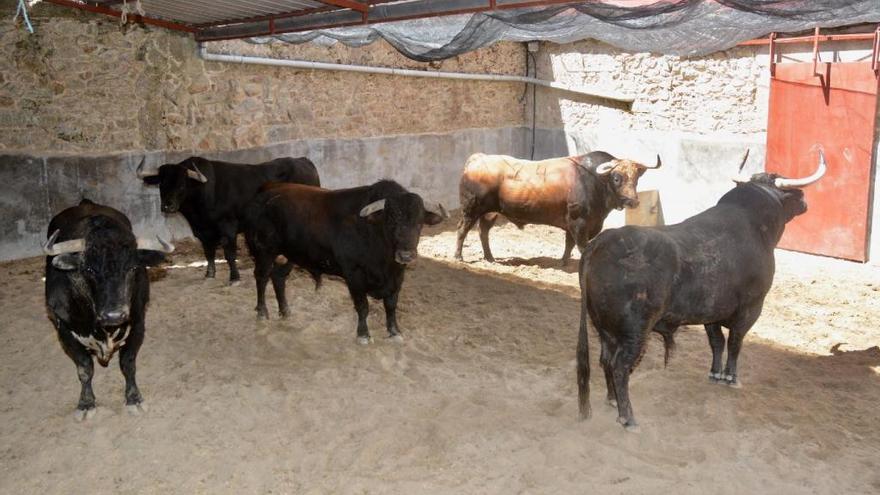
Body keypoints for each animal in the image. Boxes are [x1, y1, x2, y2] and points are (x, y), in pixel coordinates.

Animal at [44, 200, 174, 420]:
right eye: (89, 269)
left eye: (133, 268)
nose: (114, 315)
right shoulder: (64, 330)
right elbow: (84, 368)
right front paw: (86, 404)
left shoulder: (138, 323)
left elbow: (128, 364)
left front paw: (134, 398)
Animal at [454, 151, 660, 266]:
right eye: (616, 178)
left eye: (636, 179)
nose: (633, 202)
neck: (594, 181)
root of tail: (478, 159)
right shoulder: (579, 223)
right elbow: (581, 246)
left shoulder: (573, 224)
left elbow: (569, 244)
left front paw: (564, 262)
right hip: (471, 209)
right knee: (463, 230)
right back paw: (459, 256)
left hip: (490, 213)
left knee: (483, 232)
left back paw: (489, 257)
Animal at [576, 150, 828, 430]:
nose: (804, 200)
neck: (755, 223)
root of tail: (601, 242)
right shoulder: (751, 308)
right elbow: (736, 342)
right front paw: (731, 377)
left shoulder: (712, 313)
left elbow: (717, 342)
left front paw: (715, 373)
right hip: (635, 331)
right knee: (620, 366)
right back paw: (628, 417)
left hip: (604, 329)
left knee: (605, 360)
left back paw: (611, 400)